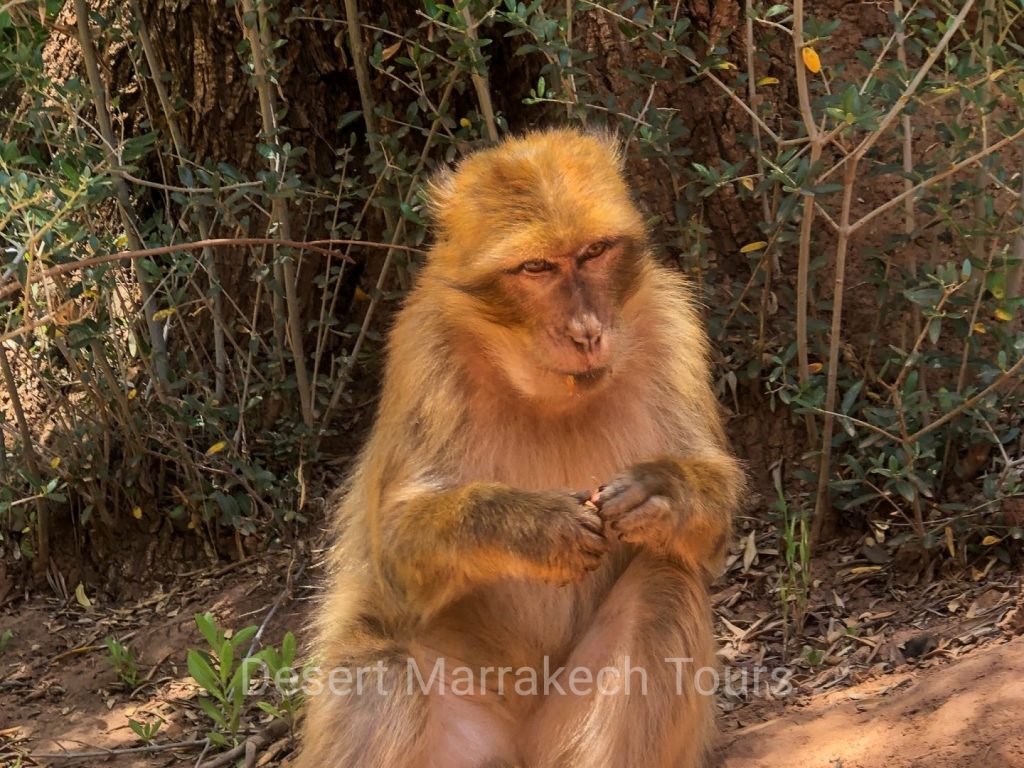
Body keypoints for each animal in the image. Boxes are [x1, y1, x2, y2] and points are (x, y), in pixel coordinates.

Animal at [296, 129, 745, 765]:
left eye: (595, 251)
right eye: (536, 267)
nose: (586, 330)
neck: (548, 395)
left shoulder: (673, 324)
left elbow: (708, 537)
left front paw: (661, 491)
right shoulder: (423, 353)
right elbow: (396, 551)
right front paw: (533, 526)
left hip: (566, 723)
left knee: (665, 587)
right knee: (385, 665)